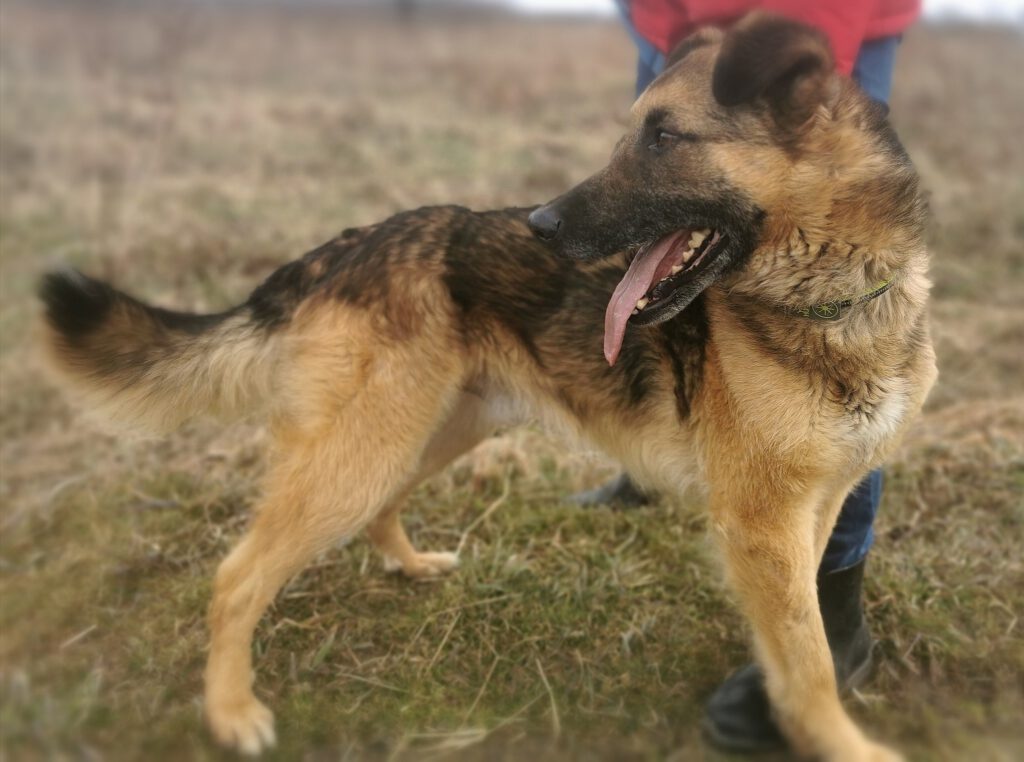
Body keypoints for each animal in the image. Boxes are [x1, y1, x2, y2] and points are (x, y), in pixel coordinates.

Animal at [39, 11, 937, 762]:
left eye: (665, 137)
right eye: (633, 135)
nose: (542, 223)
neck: (843, 300)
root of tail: (344, 246)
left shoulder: (812, 508)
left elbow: (804, 634)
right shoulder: (760, 523)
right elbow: (808, 662)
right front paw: (843, 745)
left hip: (432, 431)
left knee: (379, 510)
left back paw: (408, 565)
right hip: (362, 449)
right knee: (237, 578)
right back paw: (231, 712)